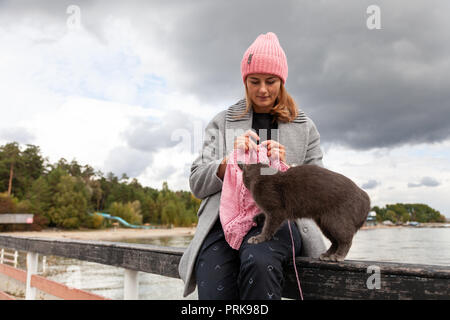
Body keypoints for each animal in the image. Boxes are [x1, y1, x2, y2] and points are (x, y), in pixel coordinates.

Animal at [237, 164, 370, 262]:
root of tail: (365, 198)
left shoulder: (276, 210)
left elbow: (269, 227)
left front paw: (259, 238)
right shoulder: (271, 211)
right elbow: (265, 217)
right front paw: (257, 218)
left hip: (336, 220)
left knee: (346, 239)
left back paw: (338, 256)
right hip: (324, 223)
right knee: (335, 241)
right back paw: (326, 255)